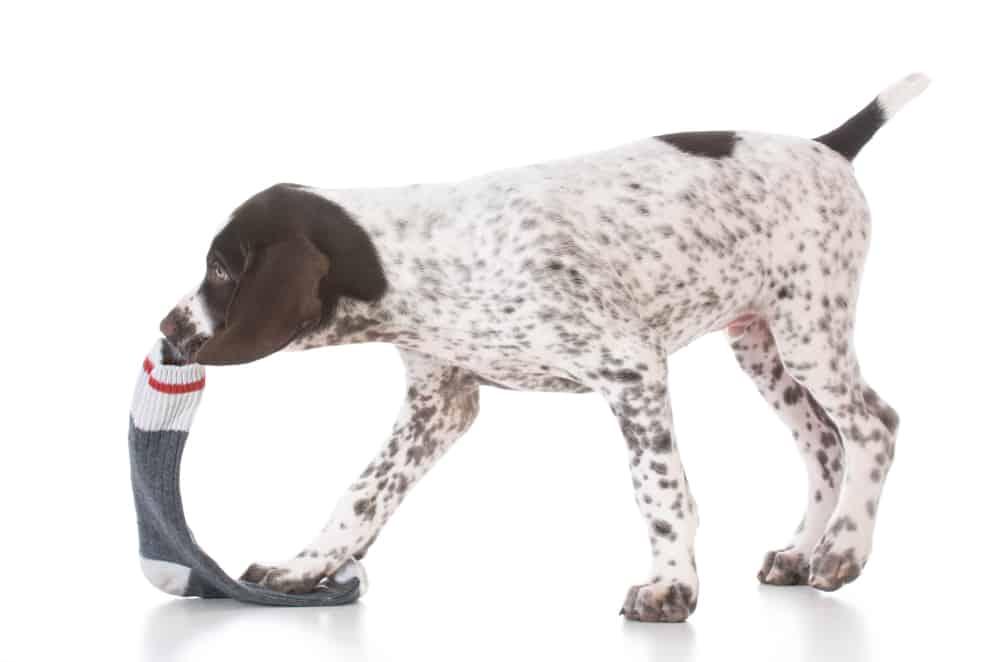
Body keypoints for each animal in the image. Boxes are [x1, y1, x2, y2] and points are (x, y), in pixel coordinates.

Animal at [160, 75, 924, 624]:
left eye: (221, 270)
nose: (167, 329)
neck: (416, 264)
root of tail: (827, 145)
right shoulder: (441, 403)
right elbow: (363, 493)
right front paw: (306, 565)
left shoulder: (632, 370)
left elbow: (661, 490)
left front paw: (671, 588)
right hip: (762, 345)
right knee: (824, 443)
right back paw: (802, 551)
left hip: (808, 330)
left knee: (872, 426)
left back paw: (843, 550)